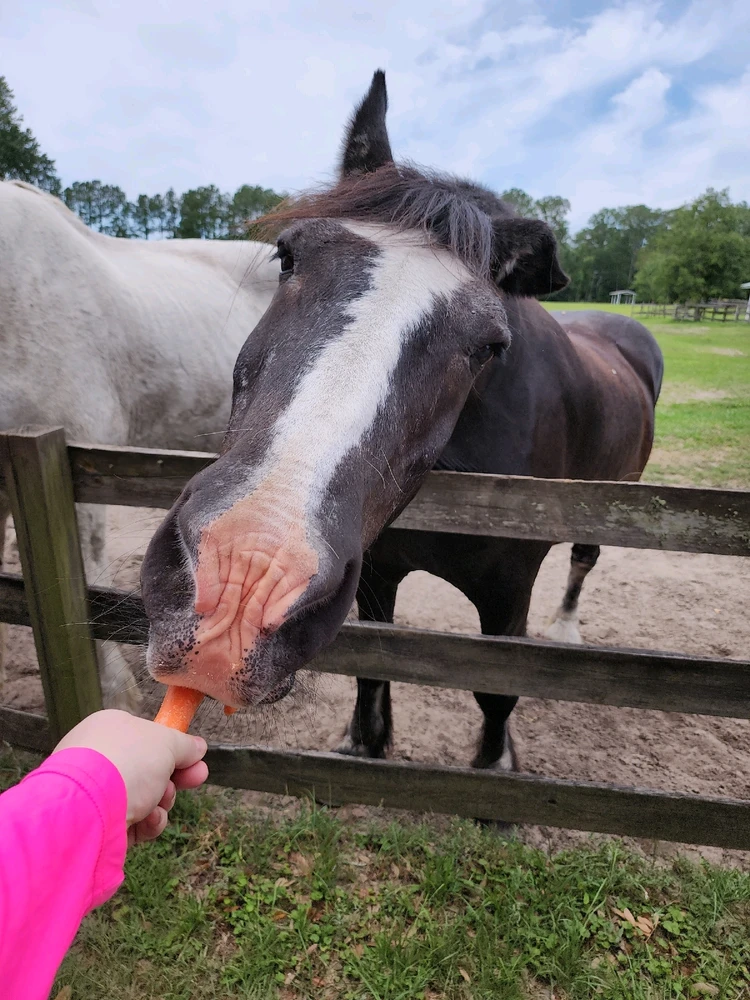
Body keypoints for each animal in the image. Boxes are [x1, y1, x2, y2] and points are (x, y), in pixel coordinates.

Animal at [141, 71, 663, 777]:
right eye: (287, 256)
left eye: (490, 344)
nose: (243, 582)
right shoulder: (375, 576)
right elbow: (372, 670)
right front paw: (364, 742)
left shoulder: (508, 593)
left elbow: (498, 690)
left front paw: (496, 765)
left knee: (583, 561)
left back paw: (566, 628)